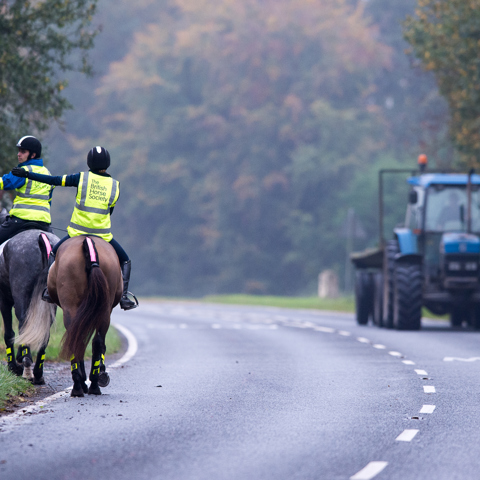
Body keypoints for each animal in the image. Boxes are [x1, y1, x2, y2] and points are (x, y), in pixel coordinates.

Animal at [0, 208, 59, 384]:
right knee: (43, 331)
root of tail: (42, 238)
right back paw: (38, 373)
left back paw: (26, 368)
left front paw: (13, 366)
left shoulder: (4, 300)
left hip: (22, 295)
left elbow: (9, 333)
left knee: (23, 323)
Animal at [21, 234, 123, 396]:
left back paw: (80, 386)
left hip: (73, 308)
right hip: (102, 311)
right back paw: (91, 385)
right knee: (93, 342)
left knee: (78, 340)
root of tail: (88, 242)